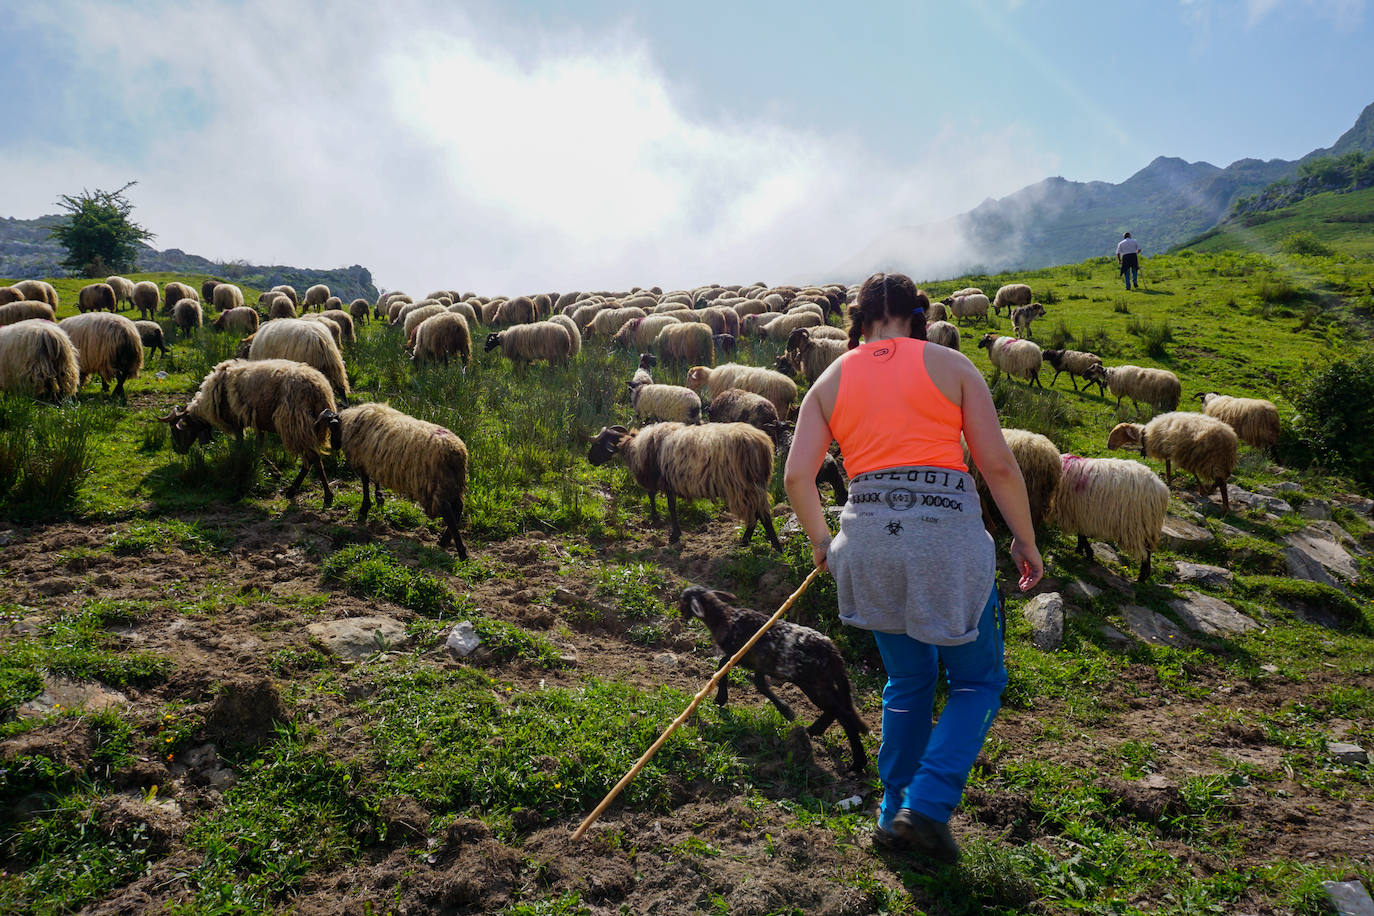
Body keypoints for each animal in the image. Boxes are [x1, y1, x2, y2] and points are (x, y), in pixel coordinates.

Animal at [159, 358, 340, 505]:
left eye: (176, 431)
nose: (177, 450)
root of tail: (318, 386)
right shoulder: (258, 424)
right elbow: (259, 448)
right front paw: (275, 471)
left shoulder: (236, 423)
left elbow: (241, 448)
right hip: (306, 423)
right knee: (311, 457)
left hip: (295, 421)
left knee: (313, 458)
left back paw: (325, 495)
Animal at [587, 422, 782, 550]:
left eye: (599, 443)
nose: (589, 459)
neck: (636, 447)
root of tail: (762, 444)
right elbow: (654, 496)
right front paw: (657, 519)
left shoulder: (665, 481)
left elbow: (669, 506)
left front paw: (673, 534)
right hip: (753, 485)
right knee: (757, 514)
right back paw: (747, 542)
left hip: (743, 485)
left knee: (761, 515)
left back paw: (774, 547)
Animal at [679, 585, 870, 771]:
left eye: (683, 600)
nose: (680, 614)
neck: (725, 618)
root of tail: (834, 654)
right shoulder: (750, 660)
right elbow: (730, 669)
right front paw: (721, 699)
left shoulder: (748, 656)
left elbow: (752, 680)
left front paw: (786, 711)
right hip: (823, 682)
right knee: (837, 709)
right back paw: (813, 731)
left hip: (812, 683)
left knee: (843, 714)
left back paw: (857, 763)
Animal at [1107, 412, 1238, 513]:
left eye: (1117, 432)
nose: (1108, 446)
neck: (1144, 435)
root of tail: (1230, 439)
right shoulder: (1171, 452)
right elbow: (1170, 466)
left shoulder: (1181, 454)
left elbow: (1173, 468)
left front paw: (1169, 482)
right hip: (1220, 461)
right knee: (1222, 480)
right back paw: (1219, 499)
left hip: (1209, 459)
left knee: (1221, 481)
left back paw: (1223, 506)